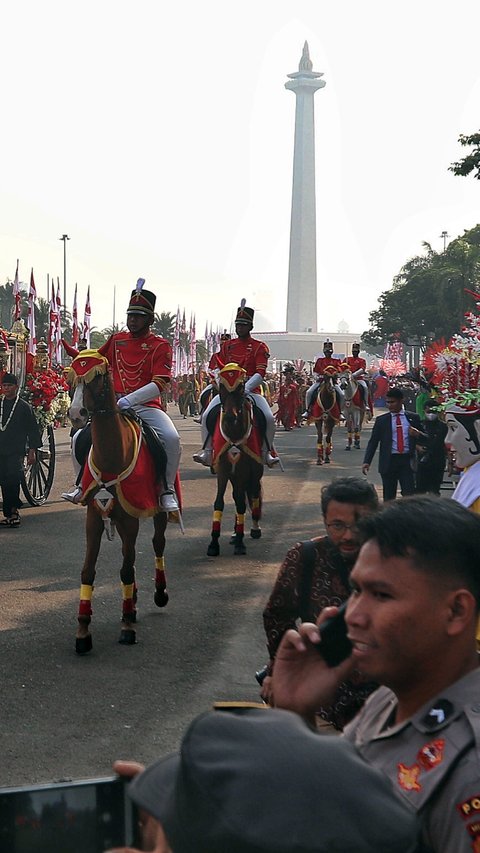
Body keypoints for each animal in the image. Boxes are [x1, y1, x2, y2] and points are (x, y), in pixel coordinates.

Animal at [67, 350, 172, 656]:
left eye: (98, 377)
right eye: (72, 377)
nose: (76, 414)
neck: (112, 455)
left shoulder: (130, 518)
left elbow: (126, 568)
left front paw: (126, 627)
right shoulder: (93, 518)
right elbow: (88, 571)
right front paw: (83, 631)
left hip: (156, 512)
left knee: (156, 545)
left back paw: (157, 594)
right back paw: (133, 601)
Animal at [206, 362, 262, 556]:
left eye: (241, 387)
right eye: (222, 387)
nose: (230, 417)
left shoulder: (244, 471)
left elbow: (241, 504)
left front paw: (240, 543)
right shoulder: (223, 471)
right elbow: (219, 503)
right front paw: (214, 543)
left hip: (253, 473)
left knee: (252, 495)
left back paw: (253, 529)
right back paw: (234, 532)